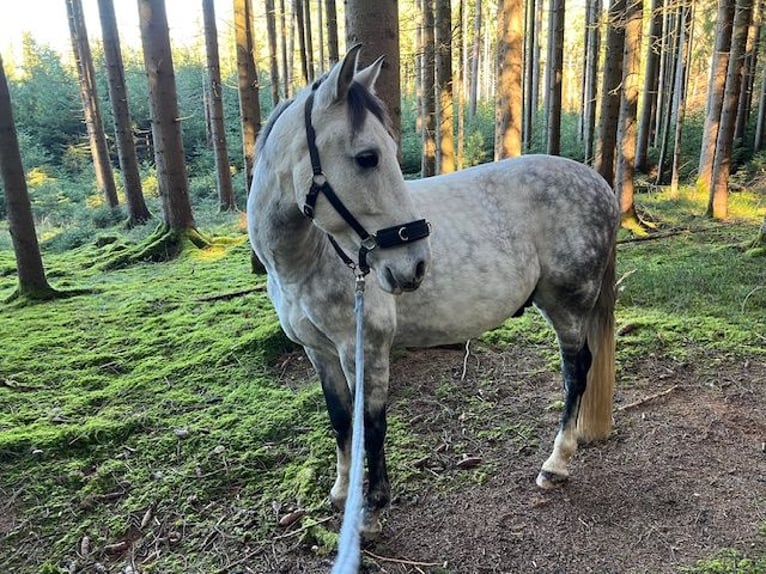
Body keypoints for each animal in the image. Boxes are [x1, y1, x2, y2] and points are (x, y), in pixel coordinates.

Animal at [247, 45, 620, 538]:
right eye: (367, 157)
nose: (415, 264)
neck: (308, 259)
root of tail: (599, 184)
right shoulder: (319, 351)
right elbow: (341, 420)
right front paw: (342, 494)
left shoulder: (364, 347)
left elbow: (371, 424)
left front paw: (370, 510)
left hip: (568, 304)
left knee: (576, 371)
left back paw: (556, 463)